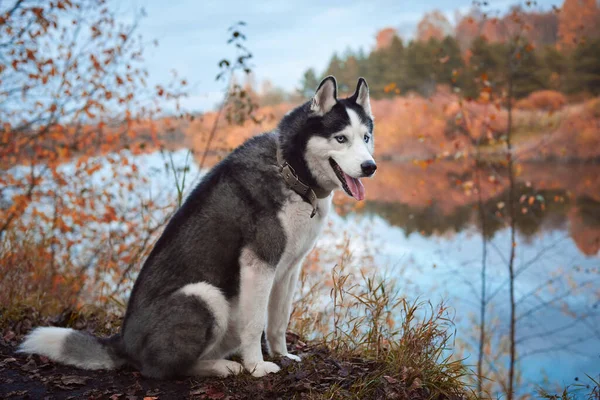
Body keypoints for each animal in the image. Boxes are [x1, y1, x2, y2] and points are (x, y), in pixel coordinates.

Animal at [19, 75, 376, 378]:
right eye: (341, 138)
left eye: (366, 137)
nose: (370, 166)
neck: (290, 172)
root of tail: (123, 342)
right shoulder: (258, 264)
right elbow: (255, 324)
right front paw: (257, 367)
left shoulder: (288, 269)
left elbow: (277, 322)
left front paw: (282, 355)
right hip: (204, 295)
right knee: (164, 370)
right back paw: (222, 367)